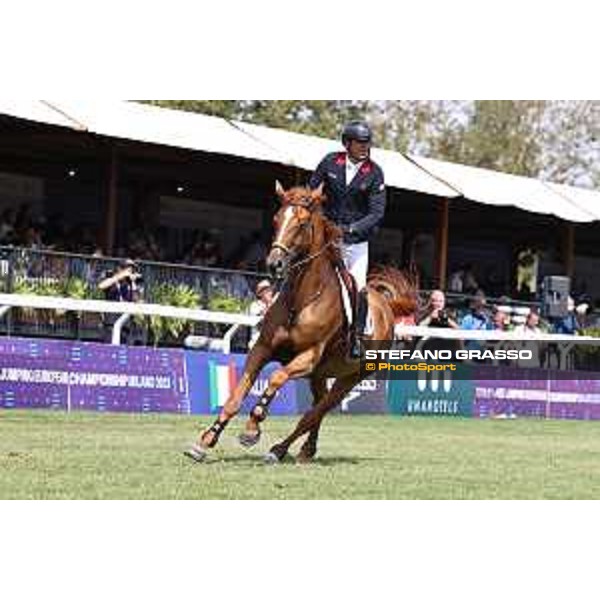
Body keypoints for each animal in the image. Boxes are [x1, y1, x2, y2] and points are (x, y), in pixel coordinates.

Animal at [184, 183, 418, 464]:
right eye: (276, 219)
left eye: (303, 223)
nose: (274, 264)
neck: (301, 299)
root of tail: (386, 308)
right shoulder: (262, 349)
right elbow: (235, 397)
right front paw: (205, 442)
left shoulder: (307, 357)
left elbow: (276, 378)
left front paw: (251, 430)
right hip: (320, 375)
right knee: (317, 408)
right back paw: (306, 450)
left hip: (351, 377)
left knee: (315, 412)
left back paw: (279, 449)